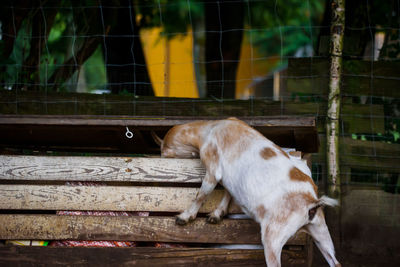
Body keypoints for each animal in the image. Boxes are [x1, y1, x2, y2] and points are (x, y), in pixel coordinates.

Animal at [153, 119, 340, 267]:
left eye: (164, 150)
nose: (161, 157)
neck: (210, 128)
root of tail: (311, 202)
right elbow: (228, 192)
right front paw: (217, 214)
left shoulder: (213, 167)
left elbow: (202, 194)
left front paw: (184, 217)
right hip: (320, 230)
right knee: (335, 261)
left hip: (273, 236)